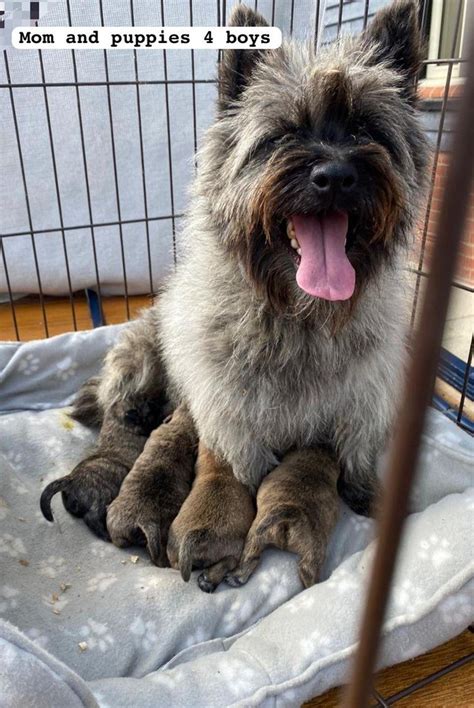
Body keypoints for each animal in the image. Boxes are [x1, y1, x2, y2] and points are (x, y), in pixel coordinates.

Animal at [42, 0, 430, 588]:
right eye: (284, 132)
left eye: (366, 127)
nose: (336, 175)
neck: (299, 314)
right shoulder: (236, 423)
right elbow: (244, 470)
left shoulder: (362, 403)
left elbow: (357, 454)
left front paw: (369, 494)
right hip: (138, 359)